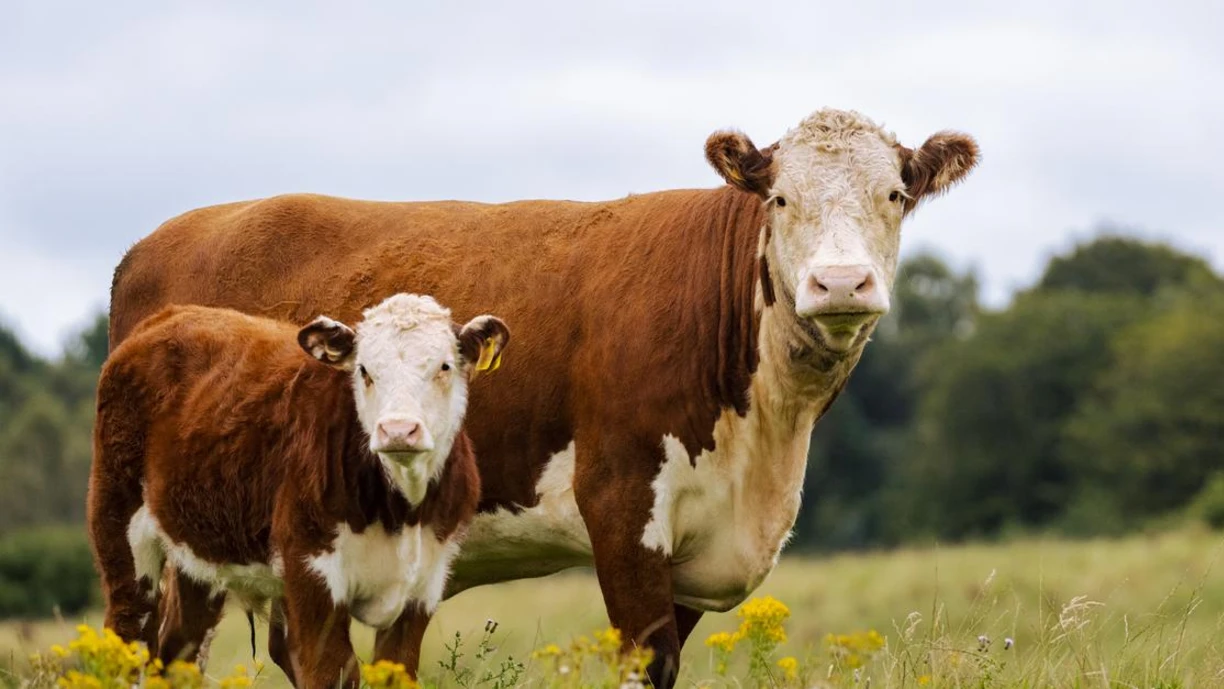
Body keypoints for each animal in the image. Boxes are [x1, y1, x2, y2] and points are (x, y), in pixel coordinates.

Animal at [88, 294, 509, 687]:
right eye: (364, 370)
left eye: (444, 366)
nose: (398, 430)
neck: (401, 510)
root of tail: (170, 315)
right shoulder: (311, 572)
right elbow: (332, 670)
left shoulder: (423, 584)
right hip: (120, 528)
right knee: (128, 633)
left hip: (200, 554)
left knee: (178, 650)